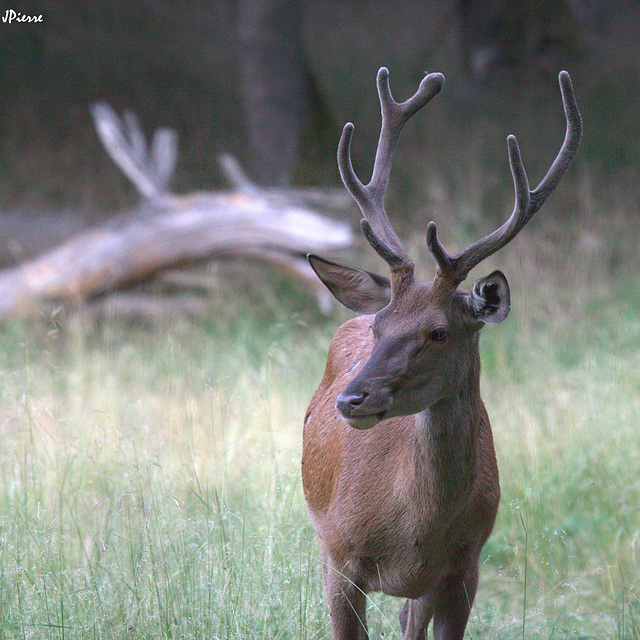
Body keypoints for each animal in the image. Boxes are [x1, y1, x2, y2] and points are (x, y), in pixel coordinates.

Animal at [302, 66, 584, 640]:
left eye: (437, 333)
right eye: (382, 326)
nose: (351, 400)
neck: (412, 531)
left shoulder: (463, 567)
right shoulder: (340, 555)